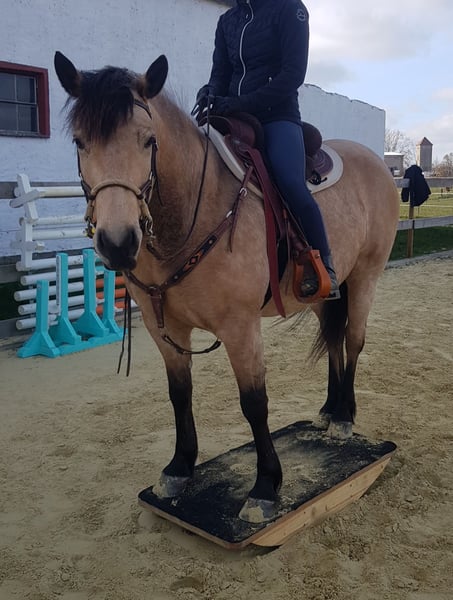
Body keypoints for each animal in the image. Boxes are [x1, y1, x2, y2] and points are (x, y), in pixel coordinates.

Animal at [54, 52, 400, 522]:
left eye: (148, 141)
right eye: (79, 142)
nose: (118, 242)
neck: (191, 217)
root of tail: (376, 161)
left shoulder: (240, 327)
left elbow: (254, 402)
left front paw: (265, 487)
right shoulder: (166, 329)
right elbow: (179, 393)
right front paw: (179, 467)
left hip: (365, 276)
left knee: (353, 339)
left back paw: (345, 416)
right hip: (321, 290)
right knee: (333, 337)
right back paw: (330, 410)